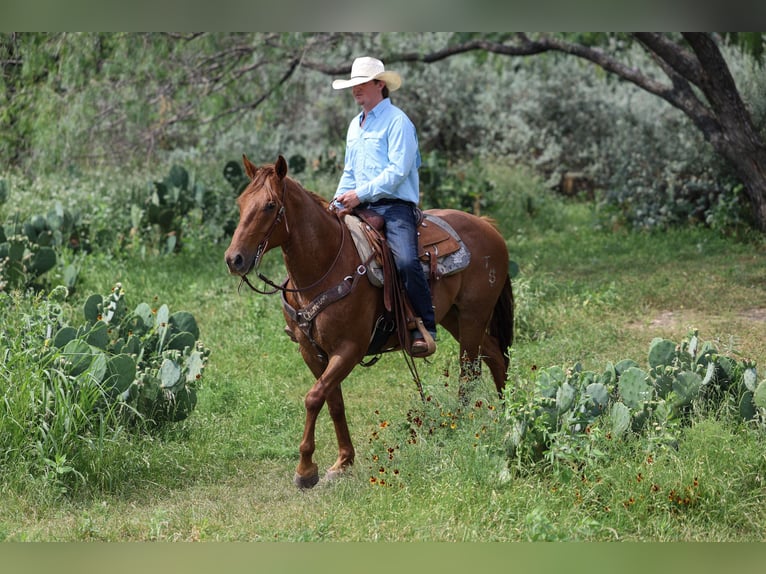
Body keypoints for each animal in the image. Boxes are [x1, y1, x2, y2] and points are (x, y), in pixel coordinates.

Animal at [224, 155, 514, 489]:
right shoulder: (312, 352)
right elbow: (332, 400)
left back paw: (461, 427)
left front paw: (306, 469)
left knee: (469, 373)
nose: (234, 259)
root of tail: (488, 226)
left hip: (472, 316)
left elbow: (313, 398)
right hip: (456, 317)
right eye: (241, 202)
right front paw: (342, 462)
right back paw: (506, 418)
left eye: (270, 205)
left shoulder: (350, 348)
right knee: (494, 357)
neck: (325, 266)